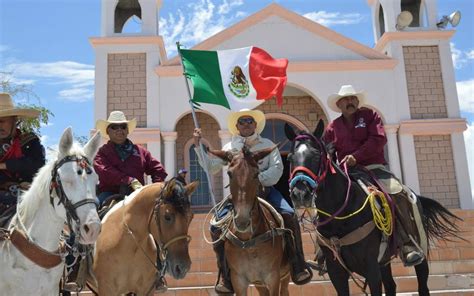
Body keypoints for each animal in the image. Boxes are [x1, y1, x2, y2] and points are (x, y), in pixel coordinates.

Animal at [284, 121, 462, 296]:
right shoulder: (337, 271)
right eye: (290, 158)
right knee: (391, 286)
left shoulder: (371, 267)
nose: (300, 194)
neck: (341, 215)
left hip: (420, 252)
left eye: (316, 155)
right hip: (384, 262)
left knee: (422, 286)